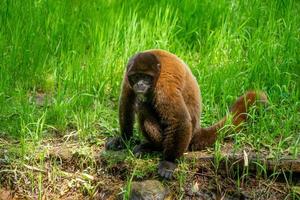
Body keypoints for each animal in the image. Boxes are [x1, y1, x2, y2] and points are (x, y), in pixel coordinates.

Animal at [105, 49, 268, 179]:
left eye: (146, 78)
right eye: (136, 77)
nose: (140, 84)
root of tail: (196, 132)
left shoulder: (164, 85)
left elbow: (180, 120)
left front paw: (169, 162)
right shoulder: (128, 75)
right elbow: (126, 103)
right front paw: (123, 139)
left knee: (143, 107)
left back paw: (153, 147)